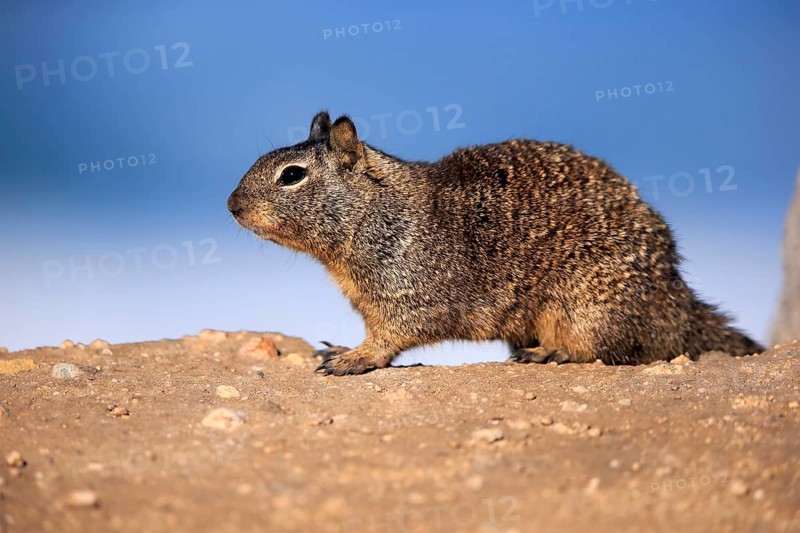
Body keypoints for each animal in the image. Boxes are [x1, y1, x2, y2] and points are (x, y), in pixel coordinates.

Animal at [228, 111, 764, 376]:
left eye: (292, 175)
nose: (231, 205)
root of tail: (677, 298)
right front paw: (339, 347)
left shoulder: (408, 293)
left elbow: (390, 338)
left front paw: (354, 359)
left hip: (588, 307)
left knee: (607, 350)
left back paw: (550, 354)